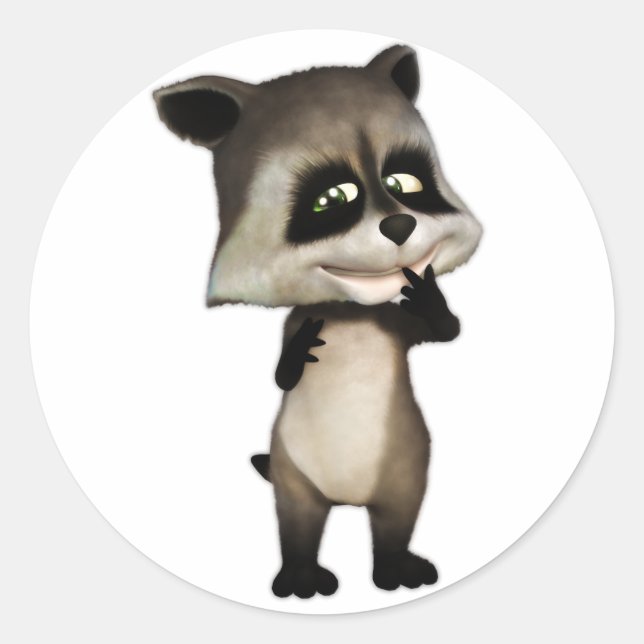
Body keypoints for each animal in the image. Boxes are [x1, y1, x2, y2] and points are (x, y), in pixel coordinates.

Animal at [153, 44, 482, 598]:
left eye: (403, 183)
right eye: (332, 198)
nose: (400, 224)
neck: (349, 308)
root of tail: (347, 499)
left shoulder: (391, 321)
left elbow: (443, 332)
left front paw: (430, 299)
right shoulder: (300, 320)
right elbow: (282, 376)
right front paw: (298, 351)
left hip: (407, 465)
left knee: (398, 516)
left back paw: (394, 565)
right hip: (293, 469)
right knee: (297, 519)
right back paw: (301, 572)